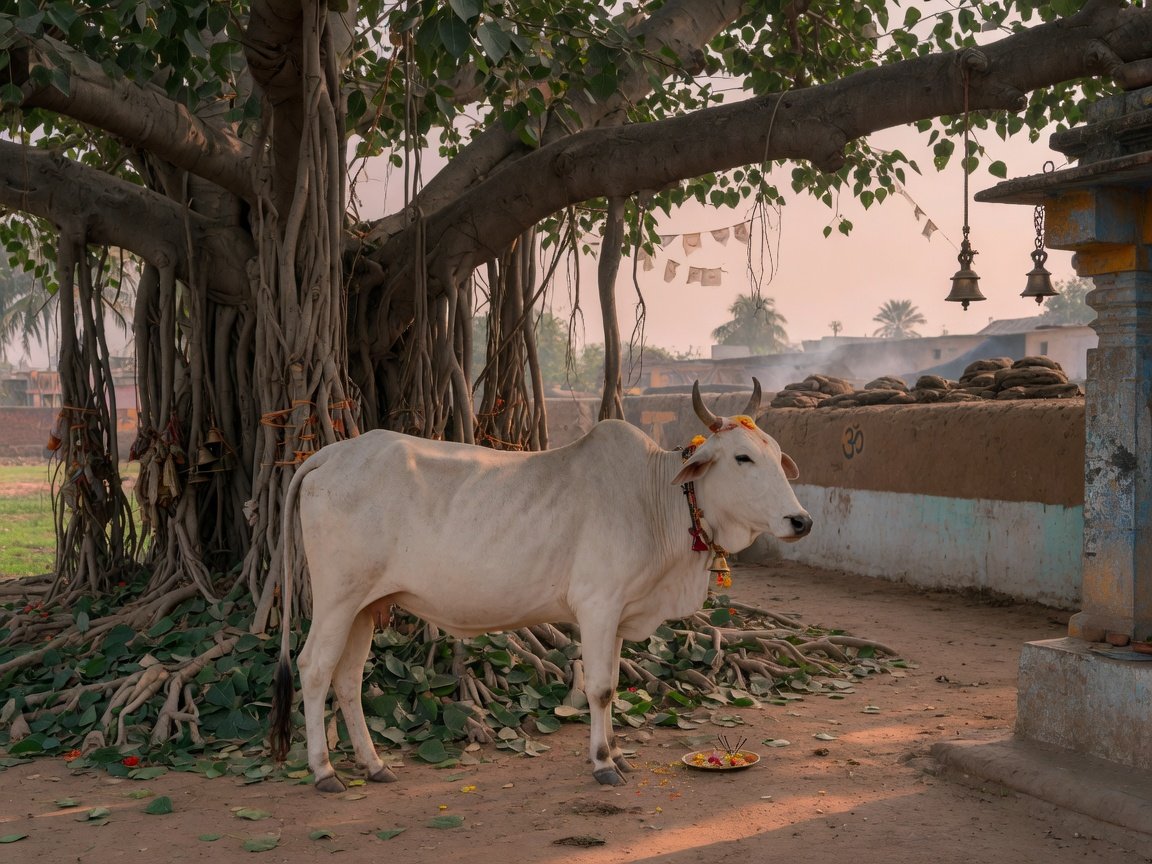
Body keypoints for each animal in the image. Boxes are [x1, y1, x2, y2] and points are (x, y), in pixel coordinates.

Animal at [269, 379, 812, 792]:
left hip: (365, 604)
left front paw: (617, 753)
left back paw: (374, 764)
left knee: (348, 679)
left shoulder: (618, 616)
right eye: (742, 458)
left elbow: (613, 684)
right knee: (314, 669)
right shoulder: (597, 605)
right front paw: (603, 764)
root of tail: (332, 453)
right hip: (337, 598)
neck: (657, 497)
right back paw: (324, 771)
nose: (800, 520)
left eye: (777, 455)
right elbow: (599, 688)